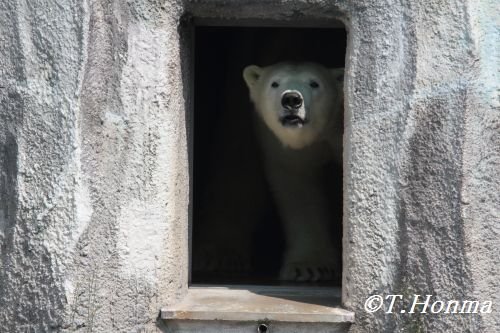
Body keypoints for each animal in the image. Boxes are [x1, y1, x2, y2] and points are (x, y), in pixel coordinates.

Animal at [242, 61, 344, 280]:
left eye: (314, 83)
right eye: (274, 83)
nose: (291, 99)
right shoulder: (285, 150)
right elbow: (300, 191)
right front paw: (308, 266)